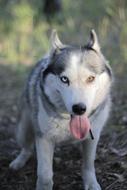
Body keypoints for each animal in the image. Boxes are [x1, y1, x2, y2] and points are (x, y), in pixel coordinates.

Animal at [9, 30, 112, 190]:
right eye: (64, 79)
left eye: (90, 78)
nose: (79, 108)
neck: (67, 120)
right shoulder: (44, 138)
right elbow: (45, 175)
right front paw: (43, 186)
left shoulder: (93, 136)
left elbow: (89, 164)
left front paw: (91, 183)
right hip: (23, 129)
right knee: (26, 147)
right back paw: (18, 162)